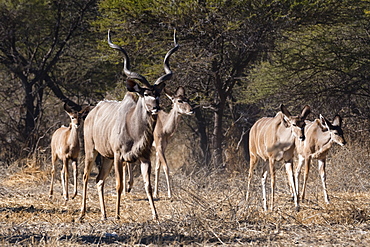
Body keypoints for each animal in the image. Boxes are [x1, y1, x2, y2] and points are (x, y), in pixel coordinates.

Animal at [79, 29, 179, 221]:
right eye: (145, 94)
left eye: (157, 94)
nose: (156, 107)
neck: (134, 130)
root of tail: (91, 114)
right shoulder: (119, 156)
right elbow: (119, 185)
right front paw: (118, 215)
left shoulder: (145, 157)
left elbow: (148, 186)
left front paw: (155, 215)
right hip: (91, 150)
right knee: (86, 177)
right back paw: (82, 213)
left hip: (107, 157)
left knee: (99, 180)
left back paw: (104, 215)